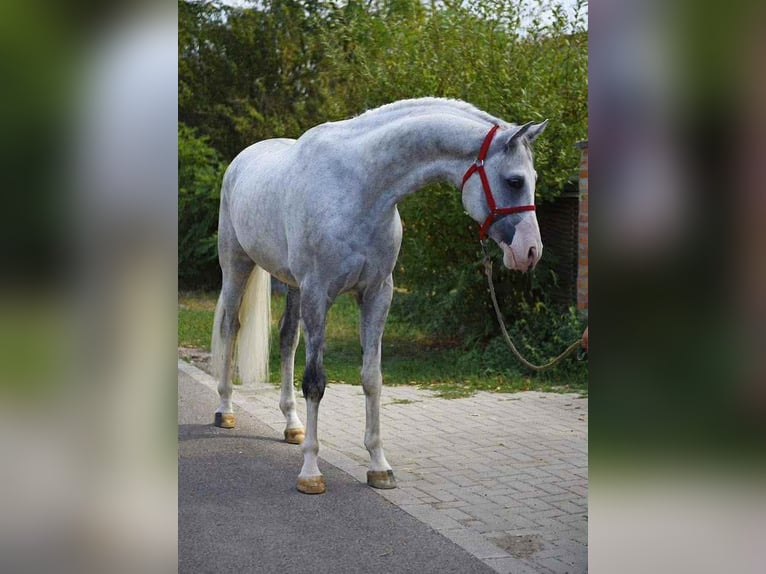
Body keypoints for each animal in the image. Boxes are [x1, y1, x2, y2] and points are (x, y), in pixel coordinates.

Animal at [210, 98, 547, 494]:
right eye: (514, 181)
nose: (530, 252)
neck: (360, 188)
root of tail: (241, 160)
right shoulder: (318, 294)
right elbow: (315, 382)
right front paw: (310, 472)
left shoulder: (376, 294)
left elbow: (372, 379)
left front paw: (379, 466)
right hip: (237, 266)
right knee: (231, 327)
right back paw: (225, 410)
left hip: (292, 286)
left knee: (287, 339)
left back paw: (293, 425)